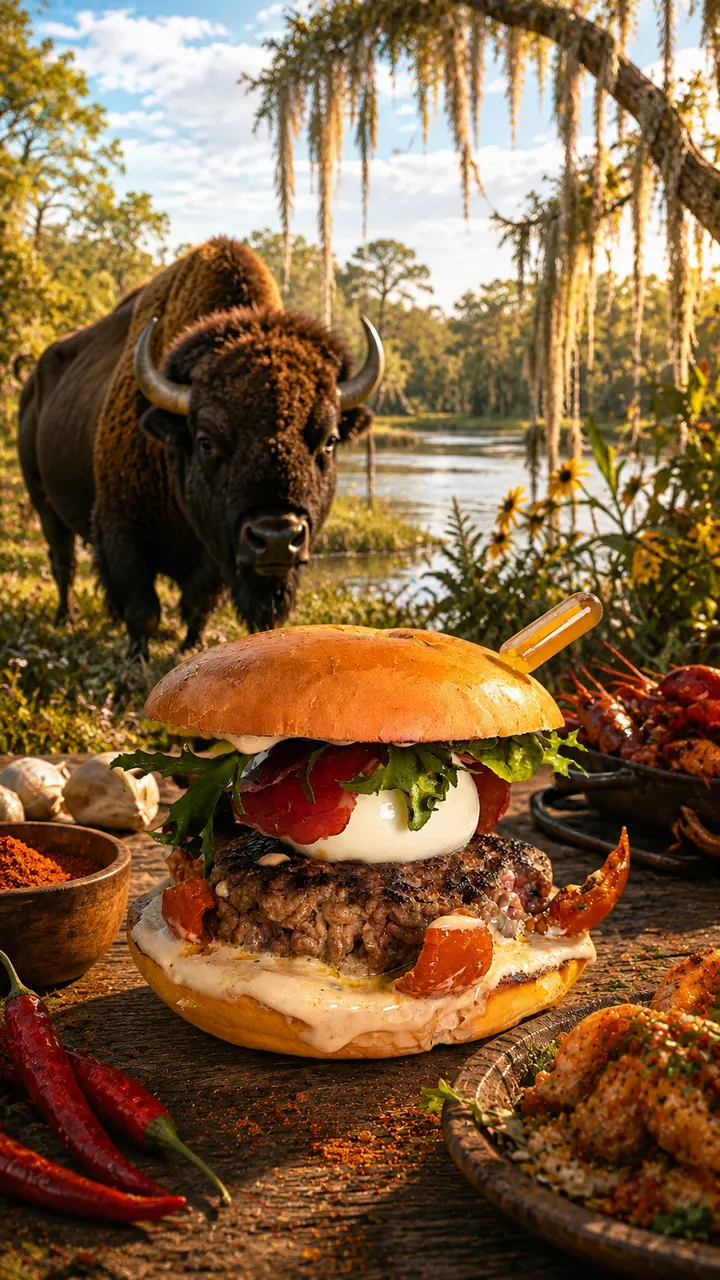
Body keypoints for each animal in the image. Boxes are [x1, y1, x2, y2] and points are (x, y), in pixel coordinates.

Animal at [18, 236, 383, 659]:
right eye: (207, 441)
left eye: (329, 440)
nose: (276, 540)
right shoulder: (122, 530)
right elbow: (143, 609)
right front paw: (139, 654)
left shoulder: (216, 554)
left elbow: (198, 606)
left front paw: (194, 644)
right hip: (44, 503)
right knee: (63, 563)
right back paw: (66, 618)